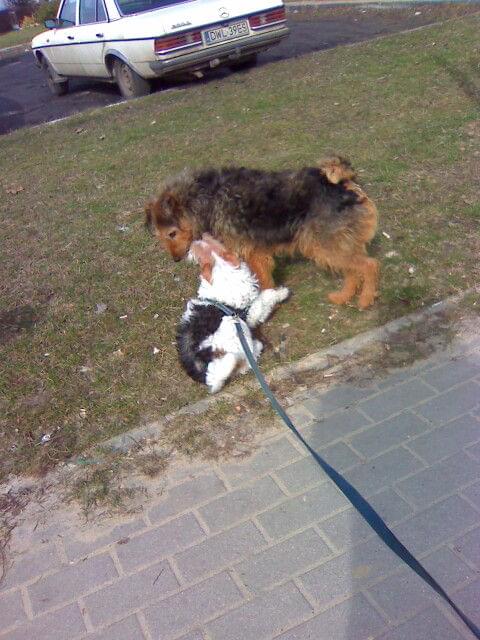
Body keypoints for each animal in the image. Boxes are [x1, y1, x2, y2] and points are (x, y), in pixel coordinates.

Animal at [145, 156, 379, 309]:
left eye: (172, 233)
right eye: (160, 236)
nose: (176, 259)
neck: (207, 198)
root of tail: (343, 184)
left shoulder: (252, 252)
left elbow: (262, 280)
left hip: (326, 246)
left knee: (370, 265)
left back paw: (365, 299)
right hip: (334, 245)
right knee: (352, 271)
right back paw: (343, 297)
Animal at [176, 234, 289, 393]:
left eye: (210, 241)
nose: (195, 239)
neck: (220, 266)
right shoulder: (250, 312)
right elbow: (266, 296)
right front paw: (282, 292)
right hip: (237, 327)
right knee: (247, 359)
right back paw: (258, 346)